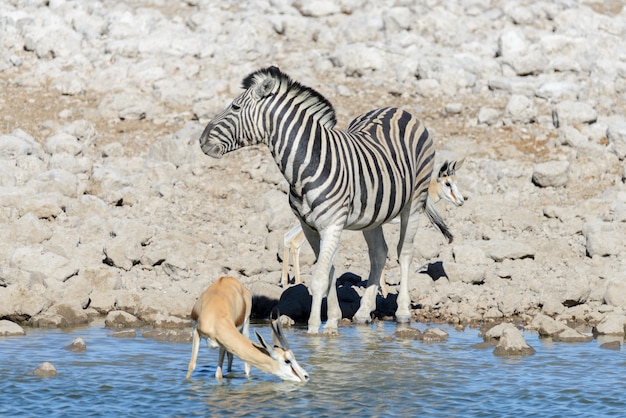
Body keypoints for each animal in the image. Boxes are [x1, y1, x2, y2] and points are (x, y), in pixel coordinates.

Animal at [200, 66, 448, 334]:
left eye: (235, 107)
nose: (201, 140)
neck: (307, 165)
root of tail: (398, 110)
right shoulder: (309, 227)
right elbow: (328, 271)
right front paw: (332, 322)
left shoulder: (332, 225)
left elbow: (319, 278)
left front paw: (313, 330)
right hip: (372, 214)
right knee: (379, 253)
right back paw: (363, 313)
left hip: (413, 203)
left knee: (405, 251)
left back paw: (402, 311)